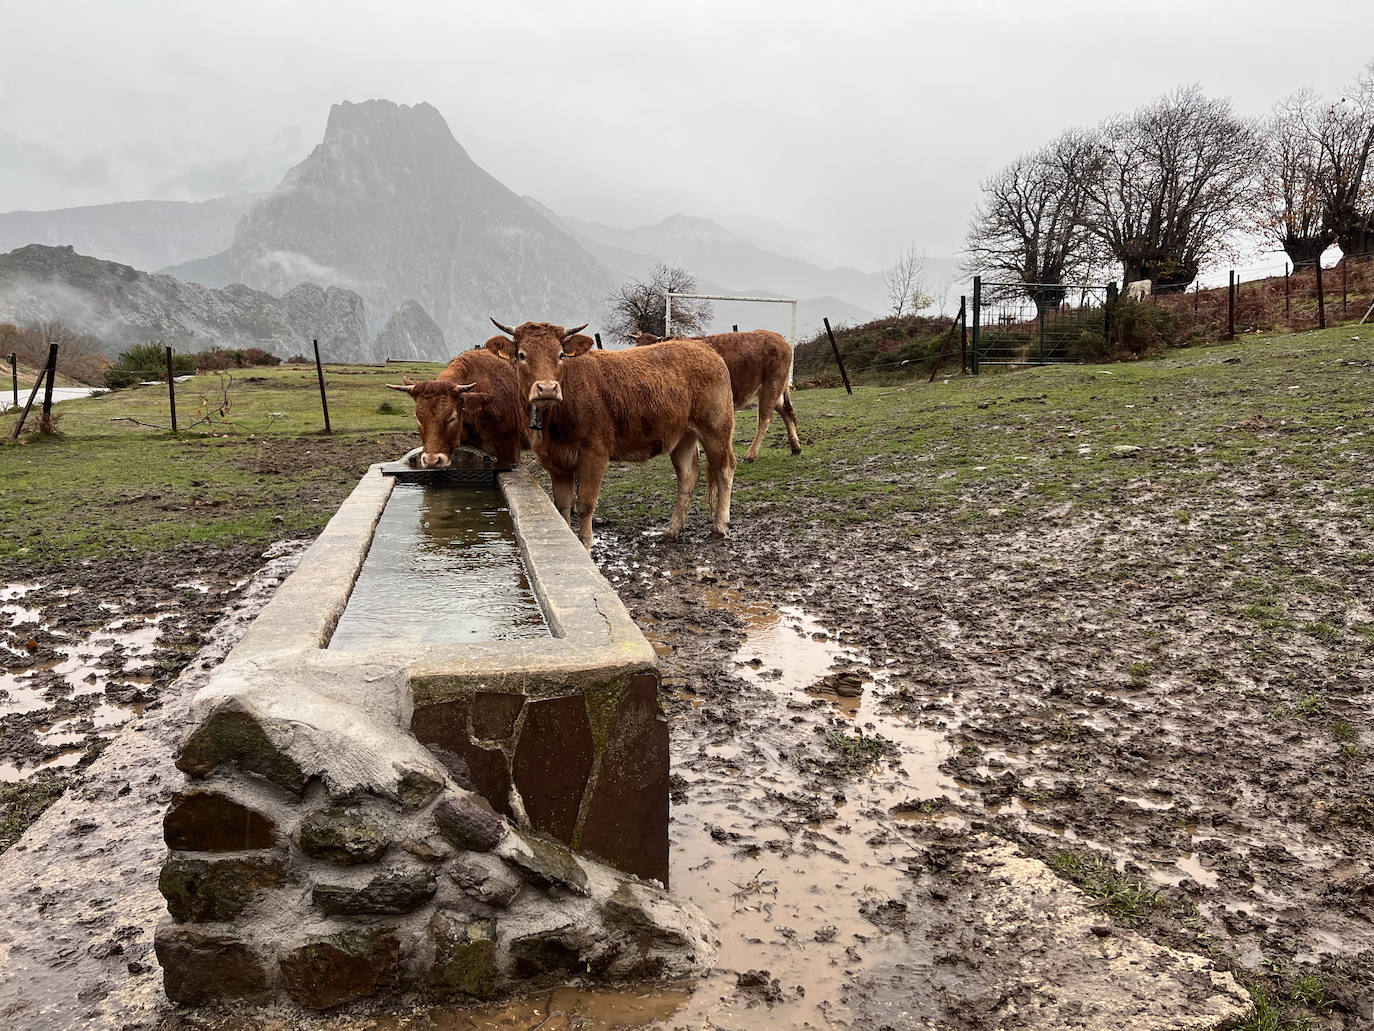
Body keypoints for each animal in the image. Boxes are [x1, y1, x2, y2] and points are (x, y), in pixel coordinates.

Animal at [634, 331, 802, 459]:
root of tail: (776, 336)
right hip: (774, 391)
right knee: (786, 412)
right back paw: (795, 447)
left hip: (771, 386)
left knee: (765, 419)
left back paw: (751, 454)